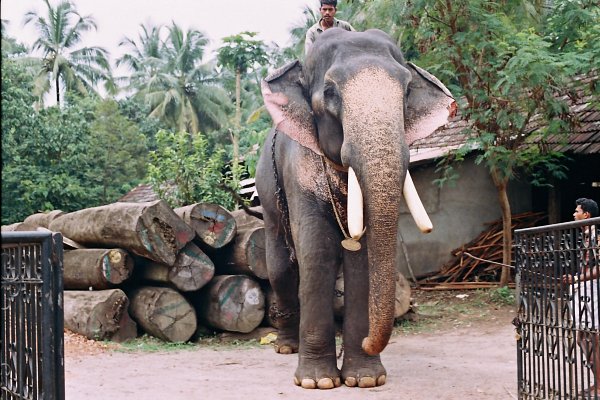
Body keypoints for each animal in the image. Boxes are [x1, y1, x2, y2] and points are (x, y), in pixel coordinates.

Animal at [253, 28, 454, 390]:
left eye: (406, 91)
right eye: (330, 92)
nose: (368, 342)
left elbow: (361, 260)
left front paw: (365, 379)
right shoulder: (300, 167)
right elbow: (317, 250)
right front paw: (317, 382)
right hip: (267, 190)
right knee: (280, 266)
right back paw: (287, 347)